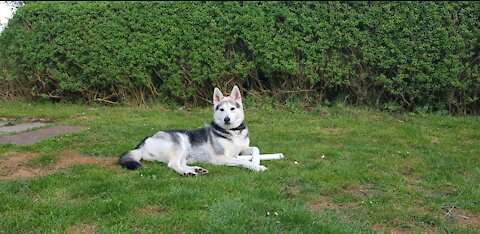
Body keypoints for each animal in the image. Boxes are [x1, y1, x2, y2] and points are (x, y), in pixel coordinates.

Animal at [118, 85, 268, 176]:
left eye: (232, 109)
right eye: (221, 109)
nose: (227, 119)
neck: (233, 132)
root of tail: (144, 141)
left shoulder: (243, 149)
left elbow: (256, 149)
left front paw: (256, 162)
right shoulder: (222, 157)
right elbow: (244, 161)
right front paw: (257, 167)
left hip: (184, 152)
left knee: (180, 163)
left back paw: (196, 169)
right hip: (179, 143)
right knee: (173, 164)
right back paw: (187, 173)